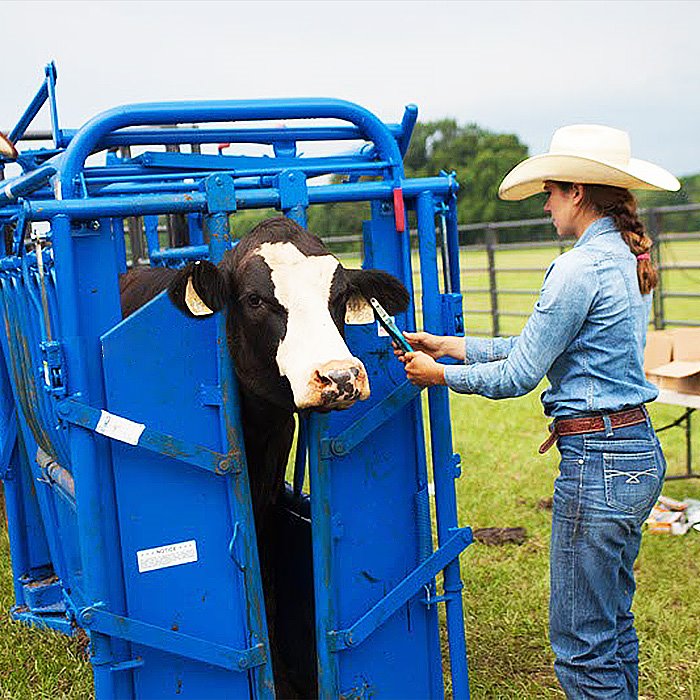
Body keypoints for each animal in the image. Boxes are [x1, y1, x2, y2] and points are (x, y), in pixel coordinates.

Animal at [119, 216, 409, 697]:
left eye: (338, 297)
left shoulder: (269, 496)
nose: (339, 376)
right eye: (255, 299)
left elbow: (268, 575)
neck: (254, 430)